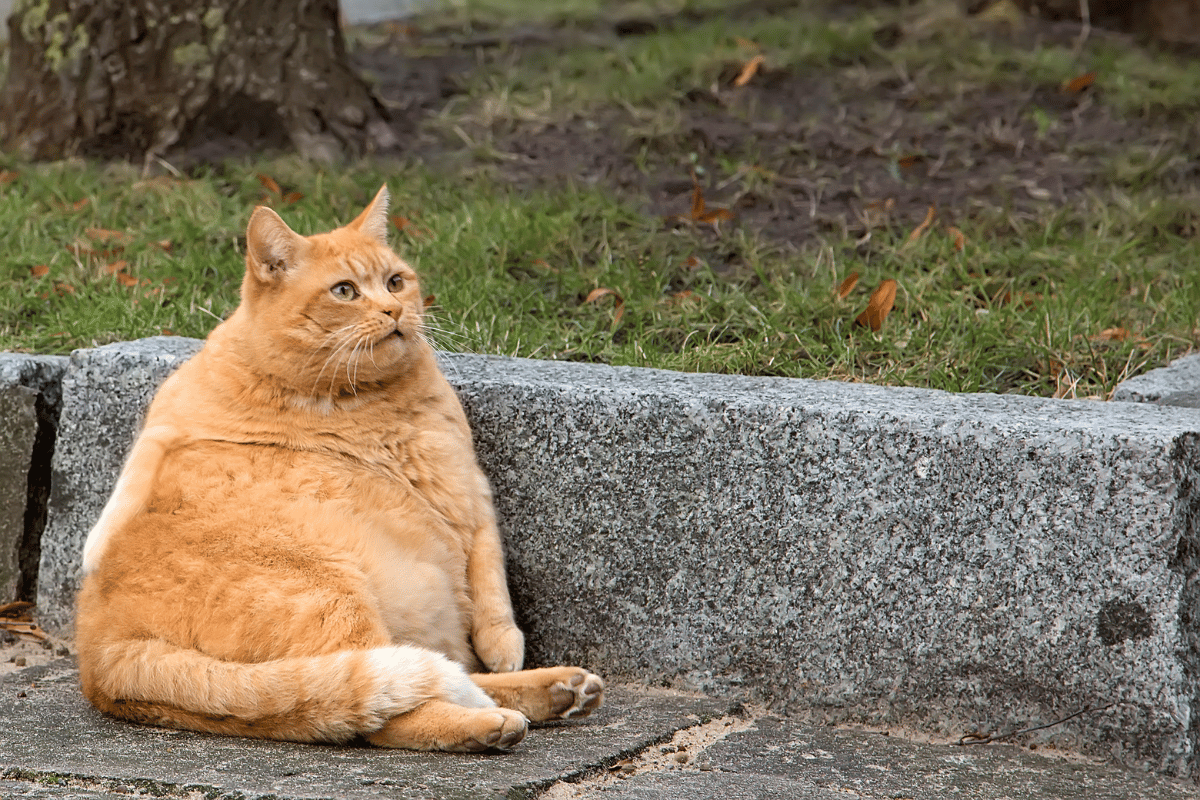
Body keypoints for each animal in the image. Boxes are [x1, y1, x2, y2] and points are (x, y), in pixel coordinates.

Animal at [73, 185, 604, 753]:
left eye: (395, 282)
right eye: (345, 291)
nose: (394, 309)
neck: (348, 402)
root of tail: (99, 656)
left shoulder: (469, 492)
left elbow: (490, 575)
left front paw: (504, 642)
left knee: (434, 677)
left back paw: (556, 690)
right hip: (334, 597)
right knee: (387, 706)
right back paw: (491, 724)